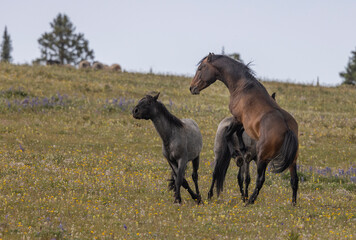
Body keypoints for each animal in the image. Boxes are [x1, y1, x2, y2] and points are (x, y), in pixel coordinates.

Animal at [191, 53, 298, 205]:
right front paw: (240, 150)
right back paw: (293, 204)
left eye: (201, 68)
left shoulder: (237, 119)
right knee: (294, 180)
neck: (243, 87)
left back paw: (249, 201)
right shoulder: (243, 124)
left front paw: (237, 155)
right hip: (292, 160)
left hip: (263, 158)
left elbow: (229, 134)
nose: (192, 88)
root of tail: (287, 129)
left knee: (260, 180)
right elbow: (238, 134)